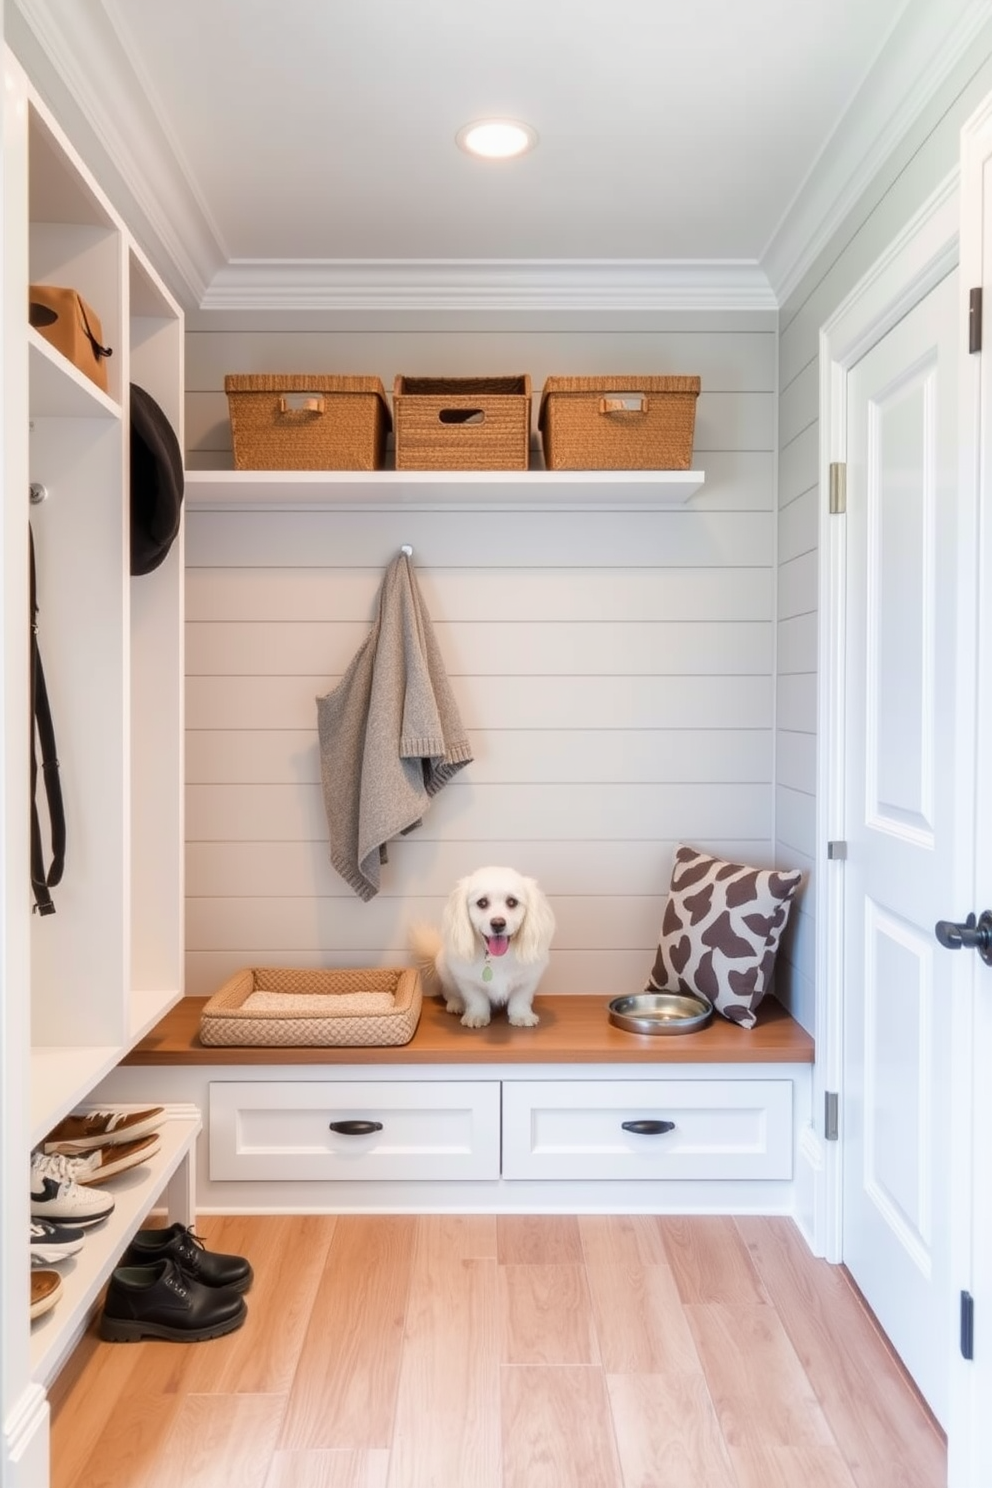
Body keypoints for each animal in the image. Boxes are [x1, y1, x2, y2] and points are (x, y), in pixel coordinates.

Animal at [407, 868, 556, 1029]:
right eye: (482, 902)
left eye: (512, 902)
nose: (498, 923)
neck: (498, 958)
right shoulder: (466, 979)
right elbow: (476, 999)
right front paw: (476, 1016)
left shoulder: (529, 978)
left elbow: (520, 999)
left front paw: (521, 1016)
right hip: (442, 966)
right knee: (448, 992)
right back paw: (456, 1004)